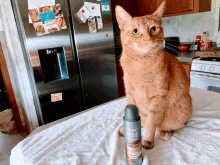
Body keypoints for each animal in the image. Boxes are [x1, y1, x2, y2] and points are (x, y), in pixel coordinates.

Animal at [117, 1, 192, 149]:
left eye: (153, 29)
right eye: (135, 31)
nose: (148, 38)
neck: (140, 63)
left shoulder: (158, 97)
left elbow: (152, 123)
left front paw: (147, 140)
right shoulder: (130, 94)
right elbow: (132, 115)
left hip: (181, 109)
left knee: (169, 126)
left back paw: (166, 132)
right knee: (143, 121)